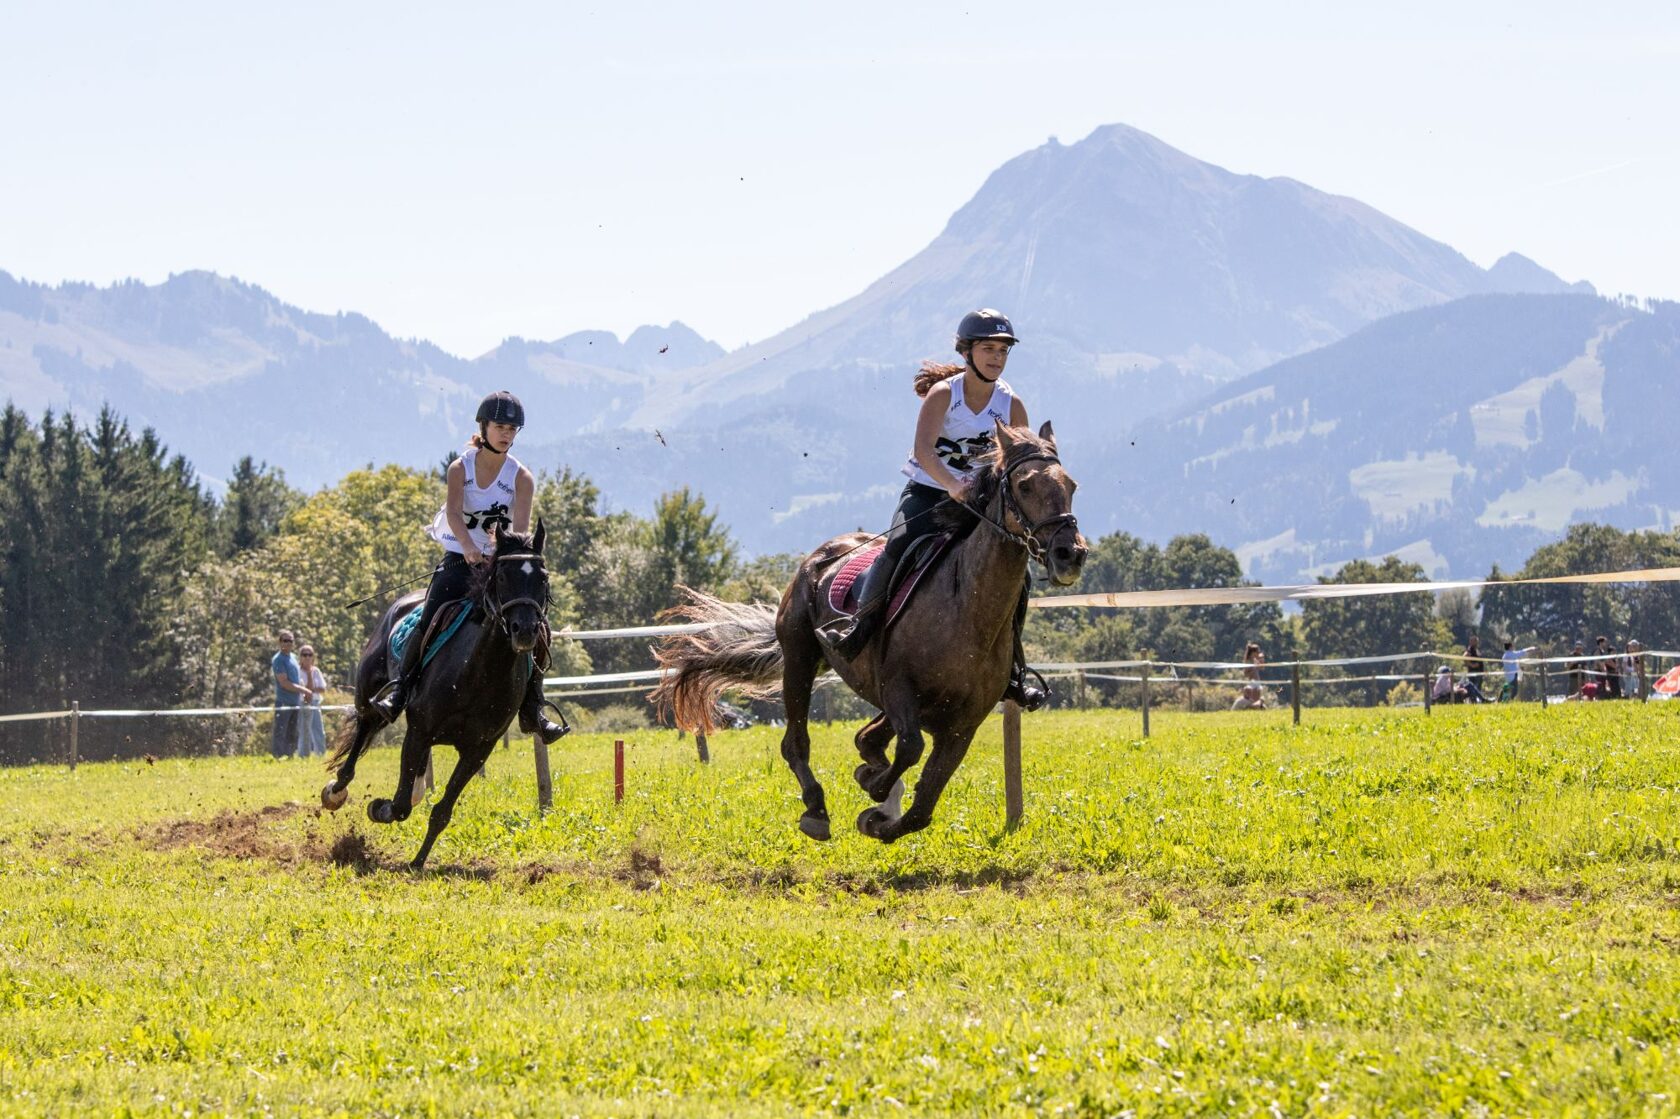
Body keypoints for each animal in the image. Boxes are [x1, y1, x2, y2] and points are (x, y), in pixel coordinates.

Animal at [320, 522, 551, 869]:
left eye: (543, 577)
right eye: (501, 576)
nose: (524, 630)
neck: (479, 673)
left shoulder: (479, 749)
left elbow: (441, 810)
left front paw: (418, 861)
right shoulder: (419, 731)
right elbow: (400, 805)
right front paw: (378, 808)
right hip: (369, 697)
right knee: (362, 732)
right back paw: (336, 790)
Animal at [654, 421, 1086, 843]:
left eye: (1071, 485)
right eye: (1025, 486)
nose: (1071, 554)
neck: (968, 612)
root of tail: (820, 555)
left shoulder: (962, 726)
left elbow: (923, 805)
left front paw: (879, 816)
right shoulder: (898, 689)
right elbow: (910, 750)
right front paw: (876, 790)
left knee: (867, 739)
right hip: (800, 658)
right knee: (797, 743)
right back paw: (817, 809)